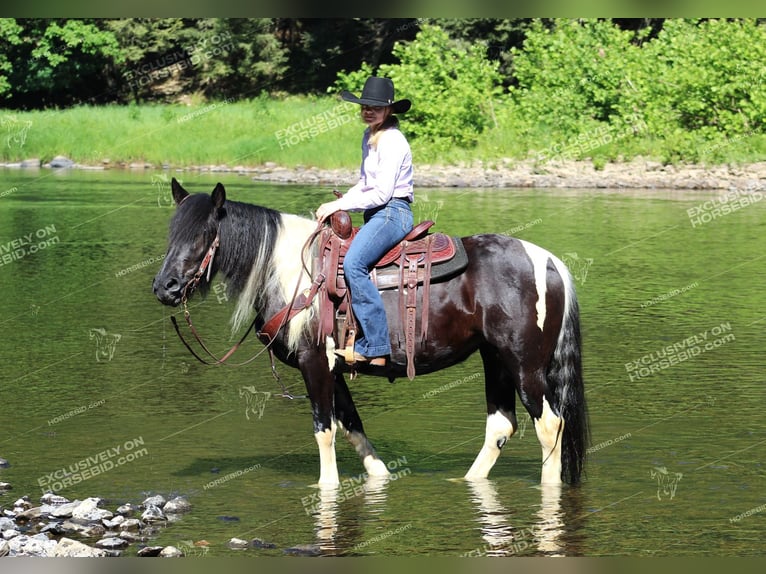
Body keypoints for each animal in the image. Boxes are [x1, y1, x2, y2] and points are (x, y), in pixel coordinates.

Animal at [153, 178, 592, 488]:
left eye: (202, 235)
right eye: (171, 233)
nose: (165, 287)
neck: (291, 271)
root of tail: (549, 261)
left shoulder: (314, 362)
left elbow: (324, 429)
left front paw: (326, 487)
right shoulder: (333, 369)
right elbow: (352, 427)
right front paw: (381, 476)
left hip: (524, 365)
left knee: (550, 426)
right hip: (495, 359)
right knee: (501, 426)